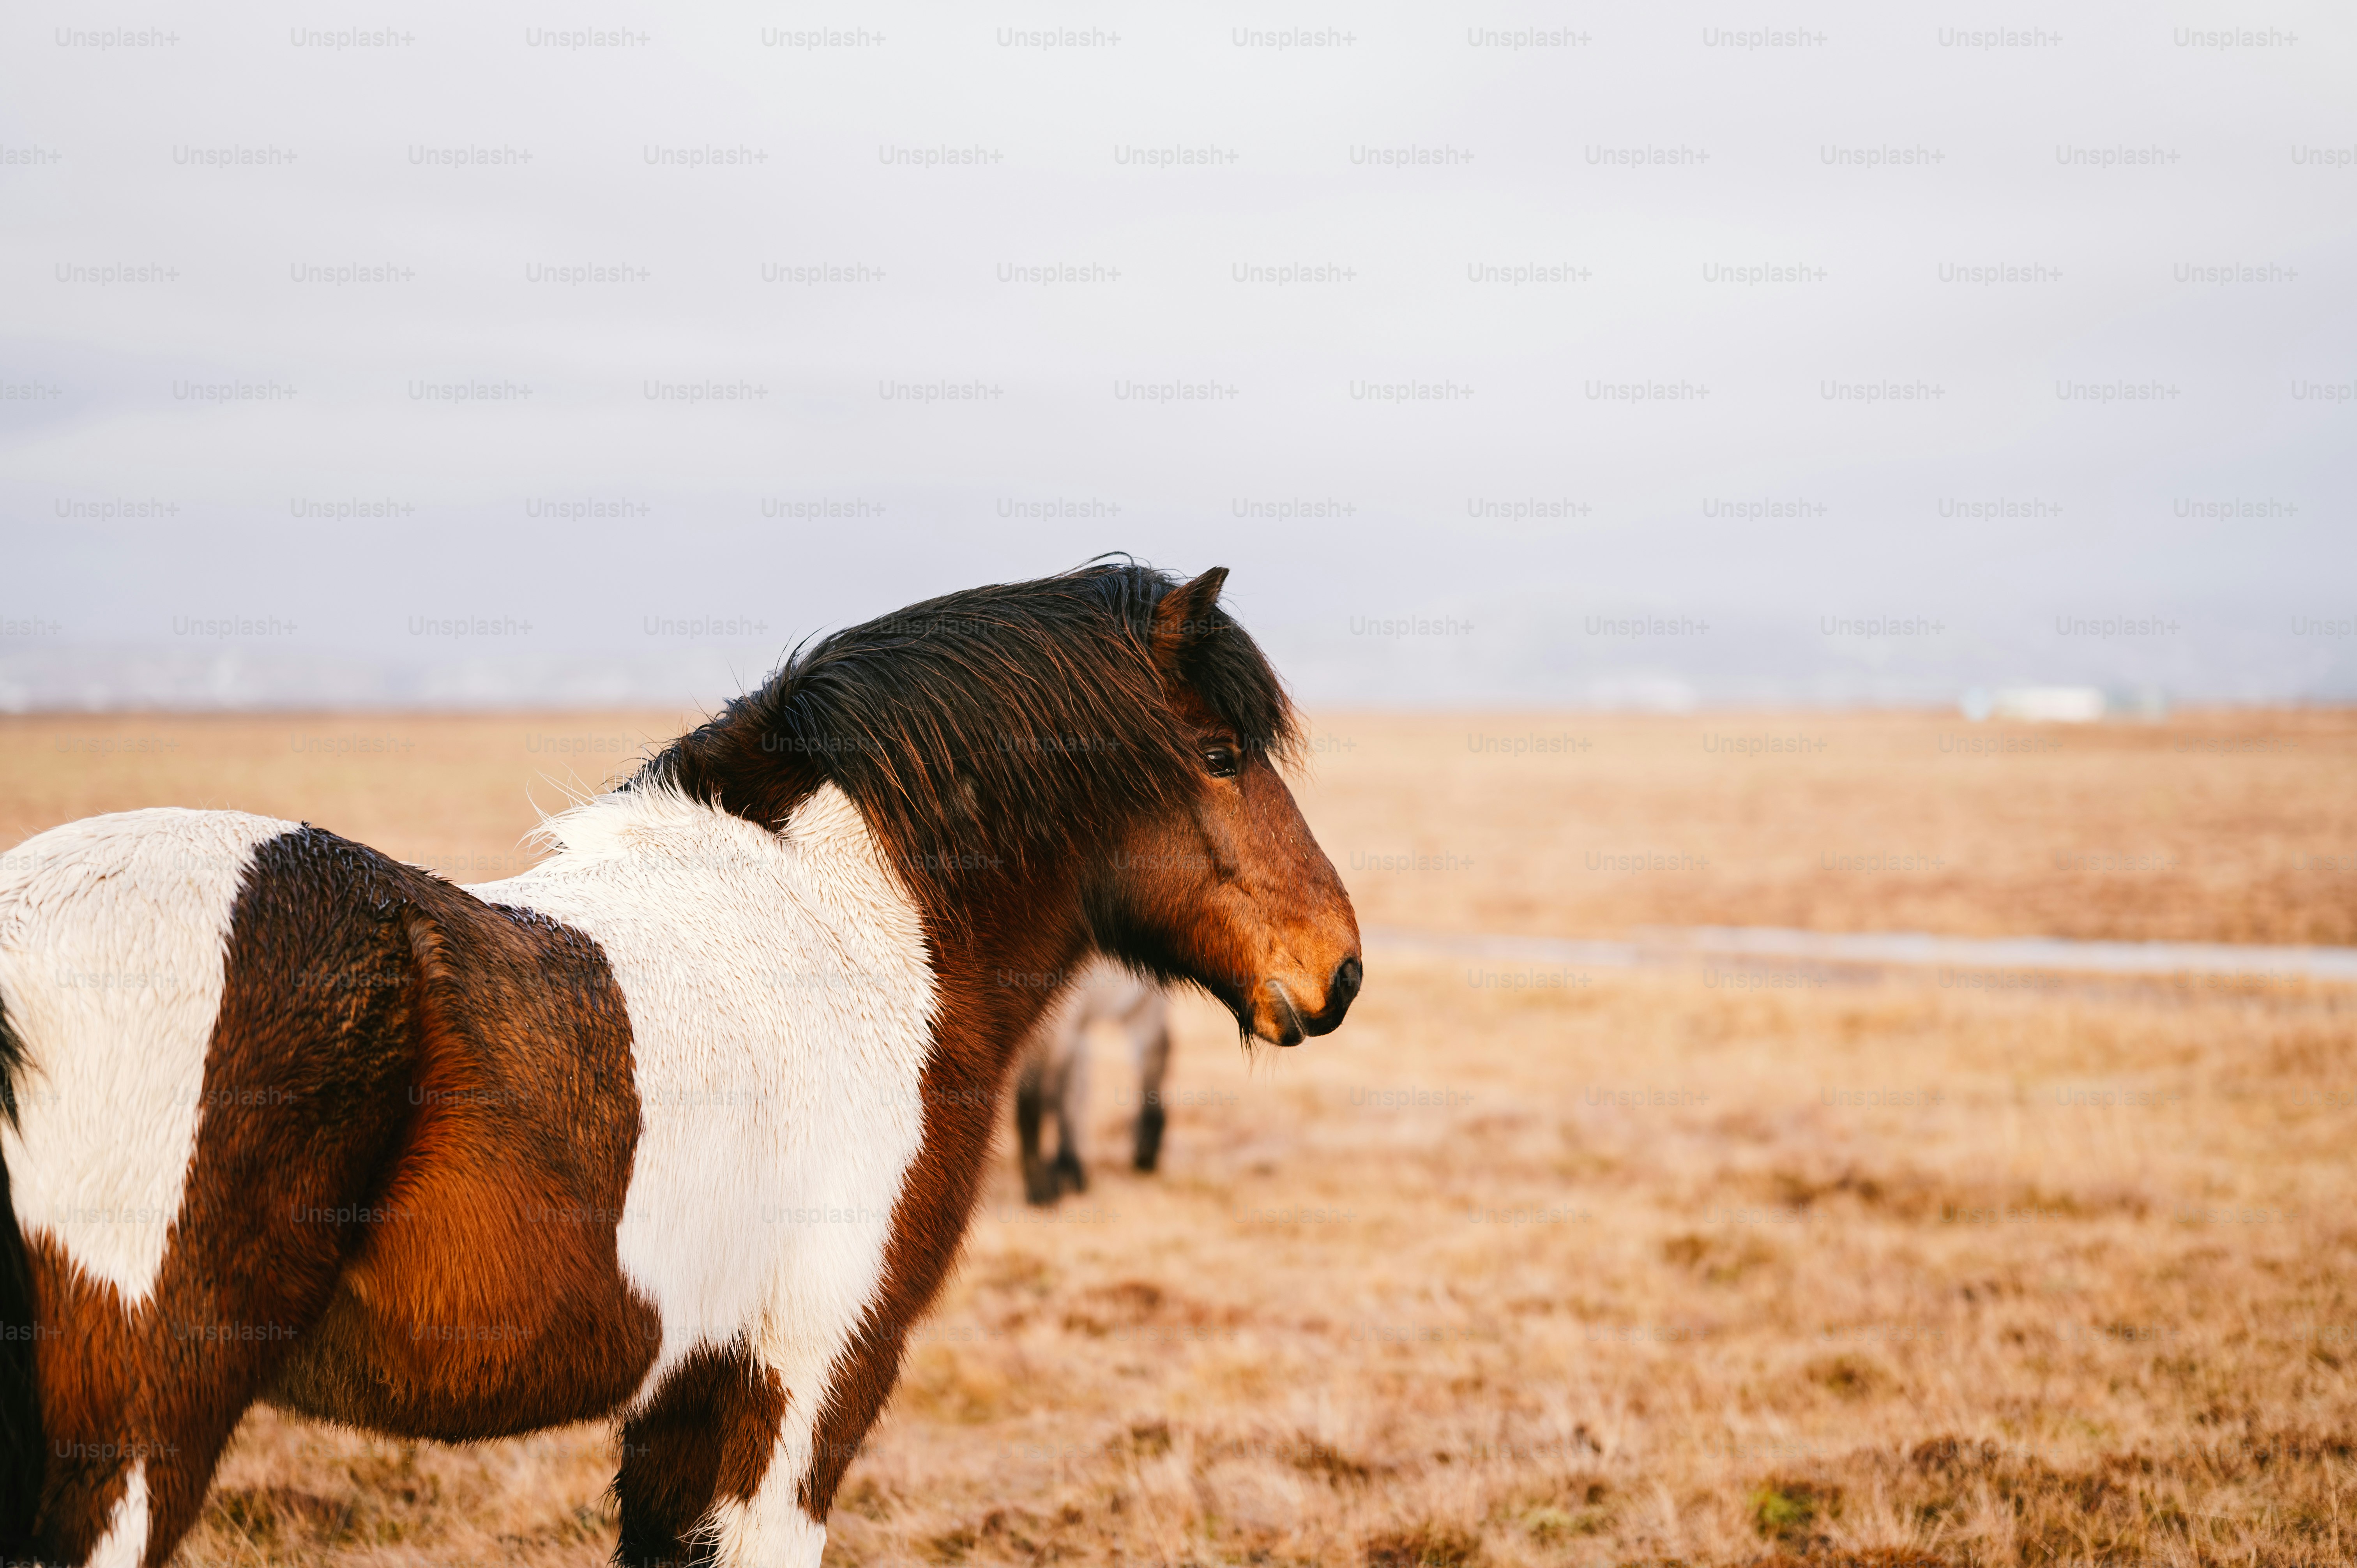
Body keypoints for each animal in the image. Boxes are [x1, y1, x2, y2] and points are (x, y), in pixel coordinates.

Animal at [1012, 960, 1170, 1205]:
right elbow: (1066, 1095)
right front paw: (1068, 1176)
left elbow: (1034, 1101)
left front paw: (1043, 1190)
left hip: (1140, 1004)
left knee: (1155, 1049)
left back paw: (1146, 1153)